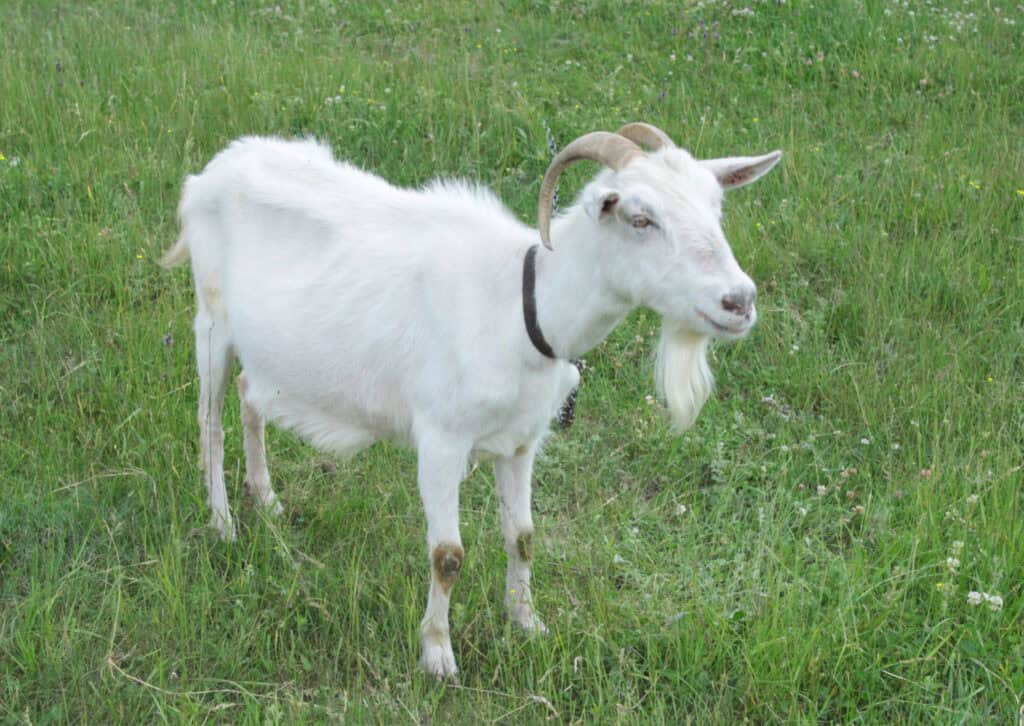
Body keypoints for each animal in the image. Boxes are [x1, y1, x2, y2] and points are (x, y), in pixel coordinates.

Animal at [161, 123, 782, 675]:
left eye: (716, 207)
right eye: (639, 218)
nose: (739, 301)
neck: (522, 305)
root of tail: (211, 172)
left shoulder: (522, 442)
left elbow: (524, 537)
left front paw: (527, 623)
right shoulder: (440, 440)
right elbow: (448, 555)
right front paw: (437, 654)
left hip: (267, 349)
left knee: (251, 394)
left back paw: (266, 499)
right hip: (210, 321)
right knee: (210, 420)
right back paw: (223, 523)